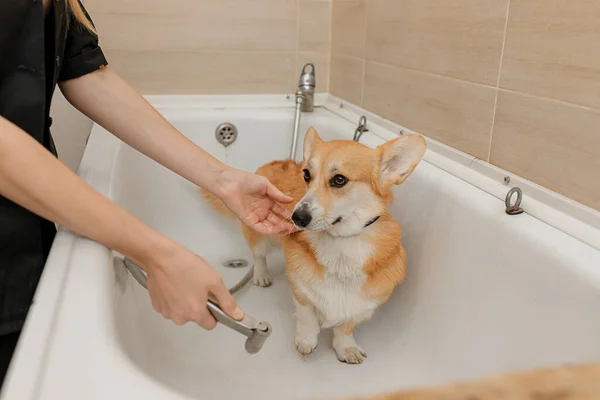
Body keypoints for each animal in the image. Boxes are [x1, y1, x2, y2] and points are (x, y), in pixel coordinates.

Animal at [202, 126, 426, 364]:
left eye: (339, 179)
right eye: (307, 175)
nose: (296, 218)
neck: (340, 243)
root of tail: (274, 162)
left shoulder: (363, 304)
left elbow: (345, 328)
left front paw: (346, 348)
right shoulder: (300, 289)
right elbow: (307, 316)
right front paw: (306, 340)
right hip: (259, 233)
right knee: (258, 255)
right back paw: (261, 276)